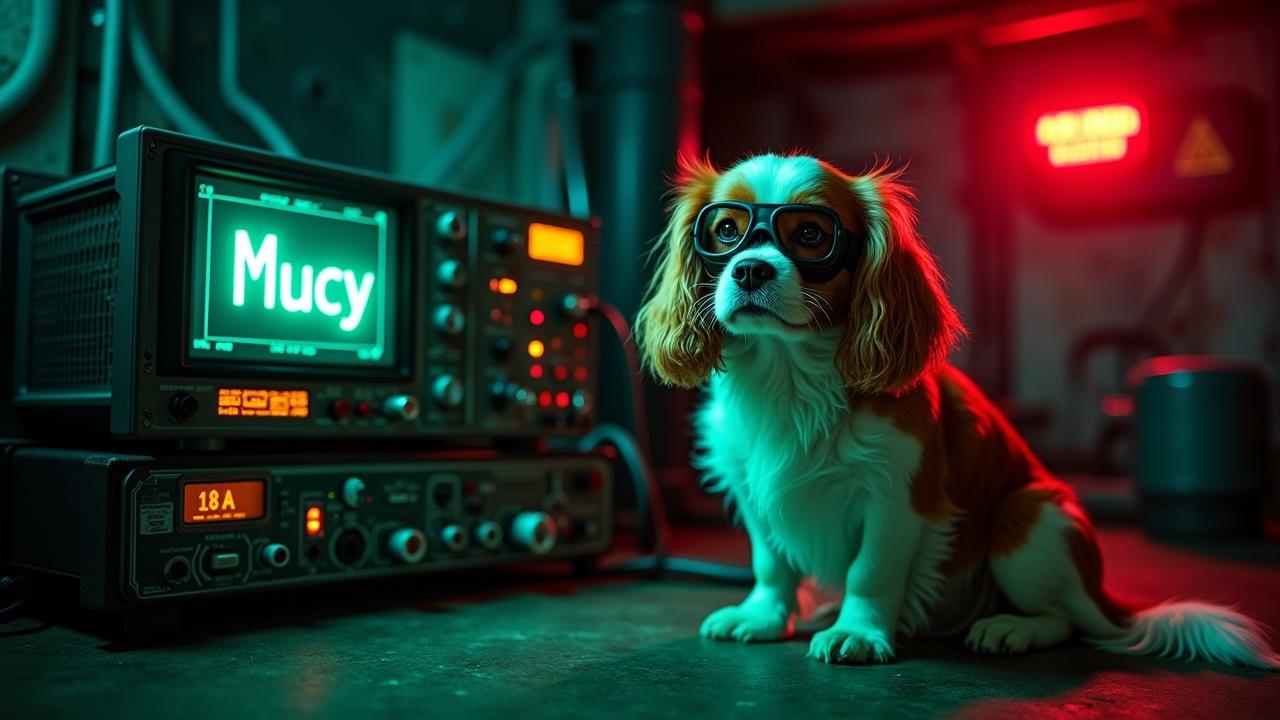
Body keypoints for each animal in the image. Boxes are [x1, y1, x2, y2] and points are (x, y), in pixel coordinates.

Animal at [632, 151, 1280, 666]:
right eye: (725, 230)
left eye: (811, 234)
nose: (749, 269)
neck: (789, 374)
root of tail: (1106, 594)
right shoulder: (752, 488)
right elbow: (772, 563)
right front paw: (765, 617)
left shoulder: (898, 497)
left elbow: (871, 570)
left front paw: (858, 633)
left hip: (1028, 521)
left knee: (1070, 620)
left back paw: (1009, 628)